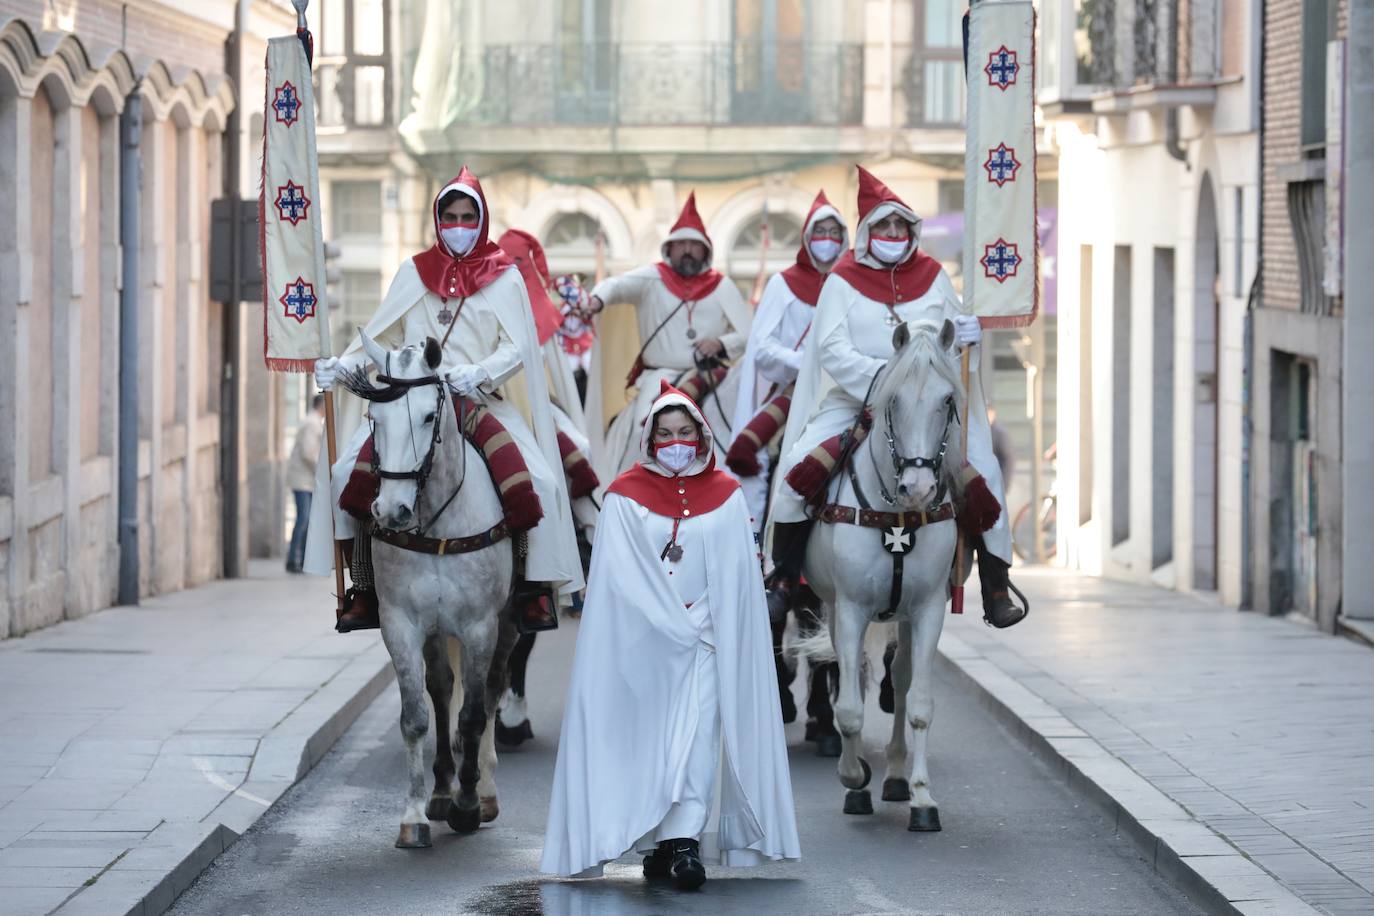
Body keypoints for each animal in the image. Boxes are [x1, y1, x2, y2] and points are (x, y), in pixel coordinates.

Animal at [340, 333, 516, 851]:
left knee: (491, 691)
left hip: (508, 623)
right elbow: (416, 716)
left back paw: (484, 791)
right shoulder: (402, 624)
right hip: (437, 630)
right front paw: (415, 814)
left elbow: (474, 714)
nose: (391, 510)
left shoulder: (480, 626)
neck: (437, 524)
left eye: (425, 417)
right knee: (441, 689)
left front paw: (467, 805)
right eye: (374, 418)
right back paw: (441, 790)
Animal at [802, 318, 967, 834]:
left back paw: (895, 776)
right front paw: (854, 780)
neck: (897, 519)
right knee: (850, 673)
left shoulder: (930, 610)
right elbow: (851, 709)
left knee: (901, 677)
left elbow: (919, 704)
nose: (918, 487)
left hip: (906, 618)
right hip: (835, 608)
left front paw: (922, 797)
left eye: (947, 400)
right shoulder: (851, 609)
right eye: (893, 401)